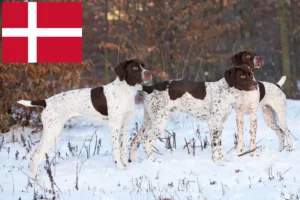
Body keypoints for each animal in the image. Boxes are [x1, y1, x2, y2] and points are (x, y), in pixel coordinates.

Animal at [17, 58, 151, 177]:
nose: (148, 73)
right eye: (135, 68)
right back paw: (39, 181)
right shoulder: (114, 126)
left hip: (50, 133)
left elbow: (122, 149)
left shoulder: (124, 126)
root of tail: (46, 102)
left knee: (33, 154)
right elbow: (116, 149)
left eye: (144, 65)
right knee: (37, 156)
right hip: (53, 133)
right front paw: (119, 167)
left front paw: (126, 167)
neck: (125, 91)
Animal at [127, 65, 256, 164]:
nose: (255, 84)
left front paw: (220, 160)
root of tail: (151, 88)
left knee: (134, 140)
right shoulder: (214, 124)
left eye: (251, 74)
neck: (226, 91)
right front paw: (219, 163)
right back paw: (154, 161)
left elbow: (218, 145)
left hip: (148, 121)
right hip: (160, 122)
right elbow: (216, 146)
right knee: (146, 142)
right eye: (242, 76)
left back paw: (132, 161)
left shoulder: (219, 125)